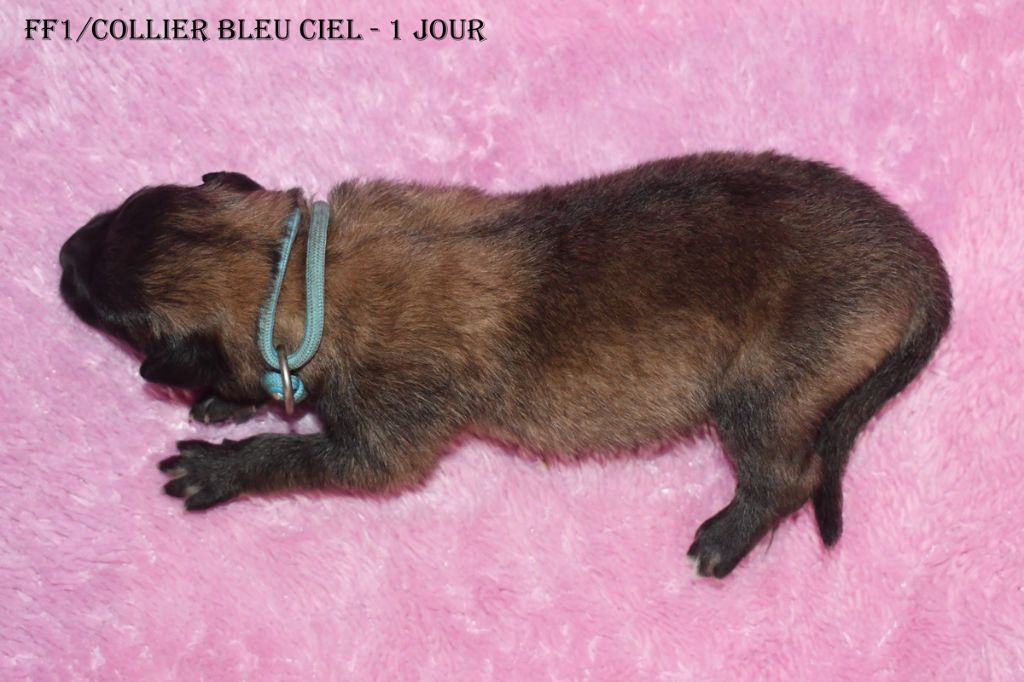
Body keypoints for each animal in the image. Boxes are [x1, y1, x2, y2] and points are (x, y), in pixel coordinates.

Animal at [59, 152, 951, 577]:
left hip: (768, 394)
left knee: (790, 478)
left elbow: (301, 453)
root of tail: (919, 265)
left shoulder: (384, 439)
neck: (297, 269)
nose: (63, 253)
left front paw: (219, 466)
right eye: (124, 205)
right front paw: (223, 401)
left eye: (115, 318)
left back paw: (724, 539)